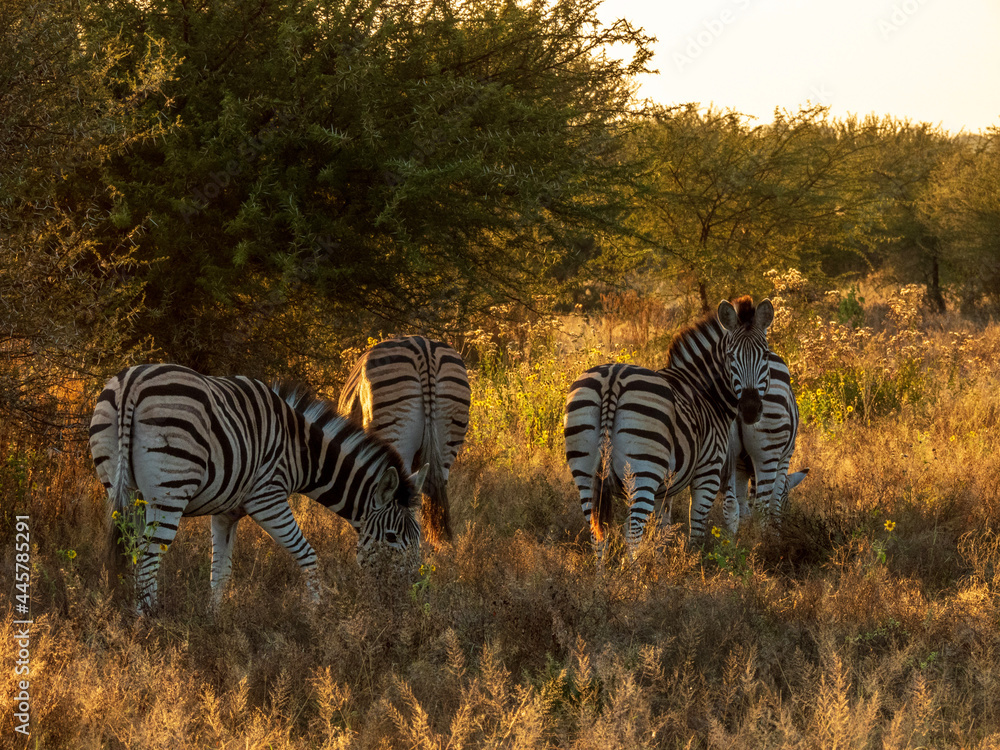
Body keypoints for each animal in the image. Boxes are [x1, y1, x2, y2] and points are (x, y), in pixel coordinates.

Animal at [89, 363, 428, 613]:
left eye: (419, 539)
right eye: (392, 537)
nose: (413, 595)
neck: (301, 452)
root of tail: (132, 384)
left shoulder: (226, 512)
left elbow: (220, 572)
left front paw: (214, 620)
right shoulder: (268, 498)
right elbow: (308, 555)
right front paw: (317, 614)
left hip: (121, 487)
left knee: (134, 548)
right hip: (169, 489)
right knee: (147, 553)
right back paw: (148, 618)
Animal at [564, 297, 773, 552]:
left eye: (765, 355)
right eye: (731, 357)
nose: (750, 409)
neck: (704, 389)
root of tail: (612, 380)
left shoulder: (666, 487)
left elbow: (661, 529)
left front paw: (659, 558)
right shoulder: (708, 472)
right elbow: (697, 531)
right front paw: (692, 560)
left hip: (585, 471)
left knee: (598, 535)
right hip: (643, 470)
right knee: (632, 534)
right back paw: (633, 565)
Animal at [725, 351, 808, 529]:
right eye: (787, 505)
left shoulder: (741, 466)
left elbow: (744, 505)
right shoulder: (784, 459)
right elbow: (773, 504)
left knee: (729, 503)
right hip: (769, 451)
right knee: (760, 507)